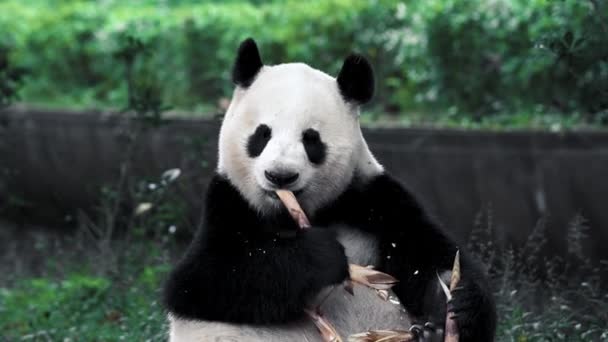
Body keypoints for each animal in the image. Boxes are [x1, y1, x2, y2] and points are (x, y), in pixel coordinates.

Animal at [164, 38, 496, 340]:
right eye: (262, 134)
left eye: (311, 139)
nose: (280, 176)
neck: (291, 214)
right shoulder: (230, 202)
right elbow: (201, 280)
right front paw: (322, 254)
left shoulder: (373, 200)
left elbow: (429, 256)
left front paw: (455, 300)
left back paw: (431, 333)